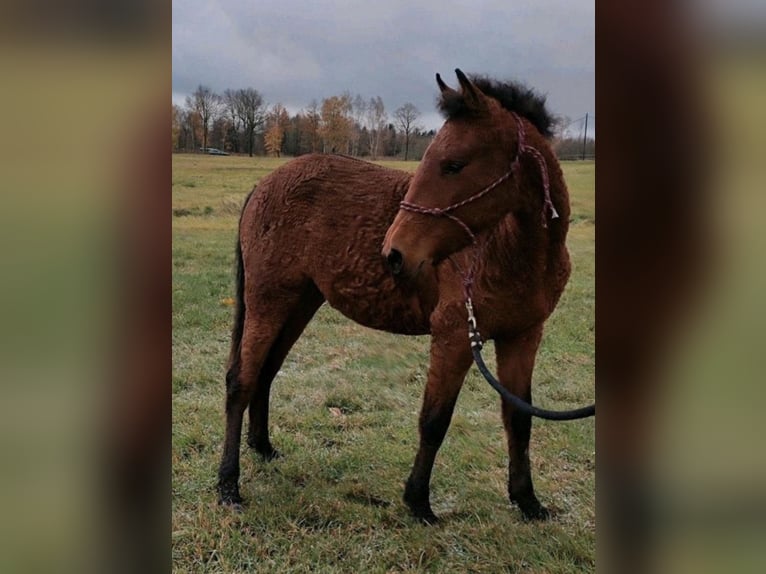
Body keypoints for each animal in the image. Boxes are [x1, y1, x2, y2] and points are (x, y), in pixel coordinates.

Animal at [218, 70, 574, 524]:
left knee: (266, 372)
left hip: (299, 303)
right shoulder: (455, 337)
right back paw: (228, 486)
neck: (510, 250)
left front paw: (527, 501)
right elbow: (435, 420)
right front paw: (418, 501)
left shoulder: (523, 336)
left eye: (454, 164)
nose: (395, 254)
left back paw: (263, 447)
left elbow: (519, 418)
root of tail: (262, 186)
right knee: (240, 380)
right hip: (268, 302)